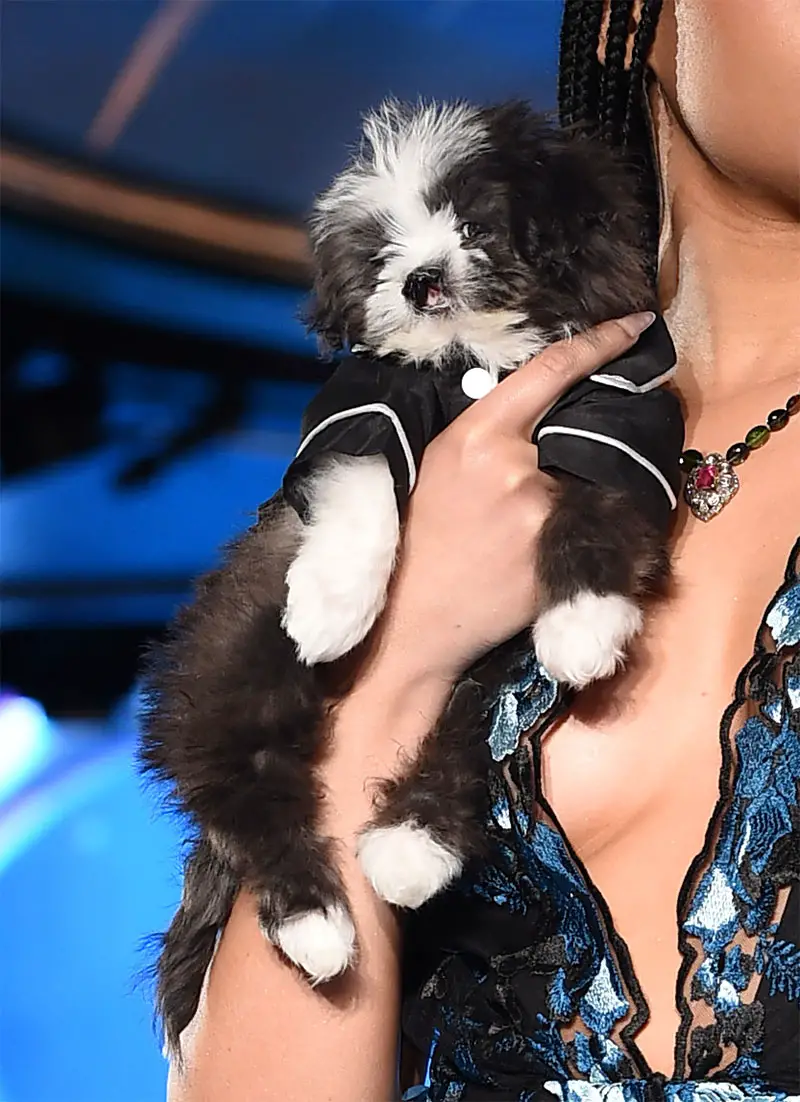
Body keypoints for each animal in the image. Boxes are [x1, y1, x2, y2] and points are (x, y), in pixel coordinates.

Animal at [141, 99, 687, 1053]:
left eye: (474, 226)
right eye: (381, 251)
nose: (422, 280)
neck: (480, 359)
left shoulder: (620, 408)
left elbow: (597, 504)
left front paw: (583, 619)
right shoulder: (370, 402)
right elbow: (363, 483)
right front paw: (332, 606)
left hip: (482, 677)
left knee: (483, 725)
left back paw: (408, 847)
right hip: (234, 667)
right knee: (246, 783)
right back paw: (316, 920)